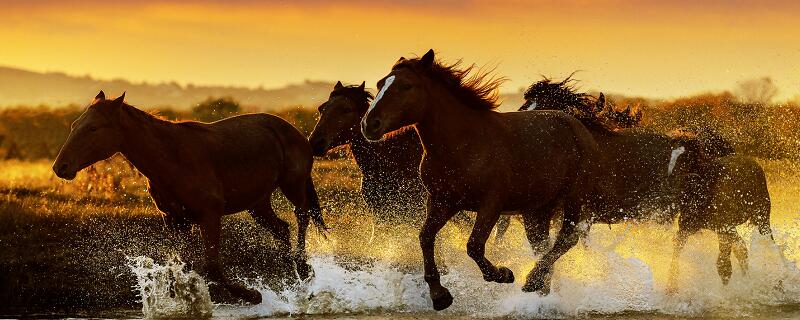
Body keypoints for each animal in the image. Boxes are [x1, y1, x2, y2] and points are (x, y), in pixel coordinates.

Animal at [52, 91, 324, 304]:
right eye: (75, 125)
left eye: (93, 128)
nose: (60, 167)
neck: (171, 158)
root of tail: (296, 132)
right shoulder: (175, 220)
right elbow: (185, 266)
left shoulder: (209, 215)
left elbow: (211, 267)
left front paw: (252, 295)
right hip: (258, 203)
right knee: (282, 229)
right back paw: (294, 278)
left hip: (293, 185)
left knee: (302, 217)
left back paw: (304, 270)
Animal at [360, 50, 616, 310]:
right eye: (380, 84)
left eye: (406, 86)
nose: (369, 124)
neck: (463, 145)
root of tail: (578, 126)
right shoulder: (442, 202)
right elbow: (426, 237)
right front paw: (440, 295)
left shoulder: (491, 205)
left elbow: (474, 245)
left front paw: (503, 274)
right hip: (538, 209)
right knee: (543, 245)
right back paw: (540, 289)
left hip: (574, 199)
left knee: (567, 239)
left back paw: (531, 280)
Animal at [664, 129, 772, 292]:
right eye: (670, 153)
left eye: (686, 156)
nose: (670, 179)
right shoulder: (687, 227)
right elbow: (677, 249)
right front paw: (671, 287)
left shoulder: (724, 228)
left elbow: (724, 266)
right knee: (741, 248)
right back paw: (747, 279)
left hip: (760, 217)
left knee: (764, 241)